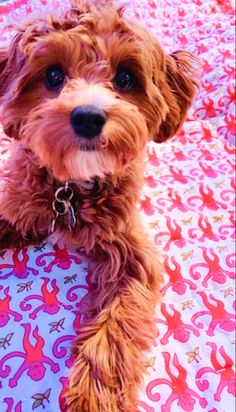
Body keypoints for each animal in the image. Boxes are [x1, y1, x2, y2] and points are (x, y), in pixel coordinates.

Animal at [0, 1, 198, 410]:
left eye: (125, 78)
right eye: (54, 75)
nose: (88, 116)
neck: (72, 189)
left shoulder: (131, 254)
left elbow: (115, 324)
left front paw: (93, 394)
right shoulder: (18, 204)